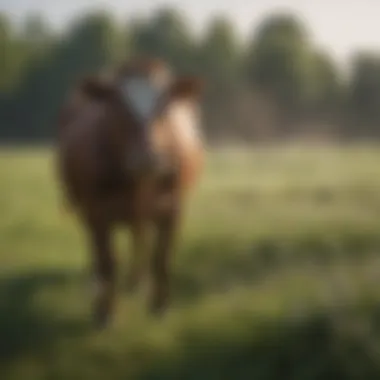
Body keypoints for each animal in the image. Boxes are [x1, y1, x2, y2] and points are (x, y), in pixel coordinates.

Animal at [56, 58, 205, 328]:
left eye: (165, 106)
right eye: (117, 106)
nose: (147, 158)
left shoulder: (173, 207)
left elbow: (161, 259)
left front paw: (160, 306)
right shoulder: (97, 212)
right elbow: (107, 262)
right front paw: (105, 313)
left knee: (140, 238)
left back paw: (137, 281)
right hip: (83, 205)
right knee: (99, 250)